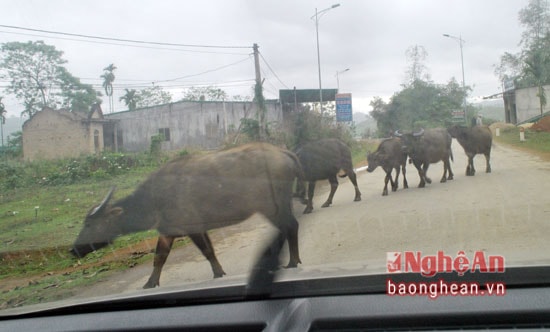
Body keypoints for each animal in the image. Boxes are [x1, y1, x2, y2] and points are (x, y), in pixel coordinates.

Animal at [69, 144, 304, 290]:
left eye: (89, 223)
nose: (73, 249)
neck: (154, 198)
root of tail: (284, 152)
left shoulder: (192, 228)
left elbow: (207, 252)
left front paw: (218, 274)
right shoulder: (168, 231)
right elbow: (160, 257)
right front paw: (149, 284)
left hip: (273, 207)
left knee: (291, 226)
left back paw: (293, 262)